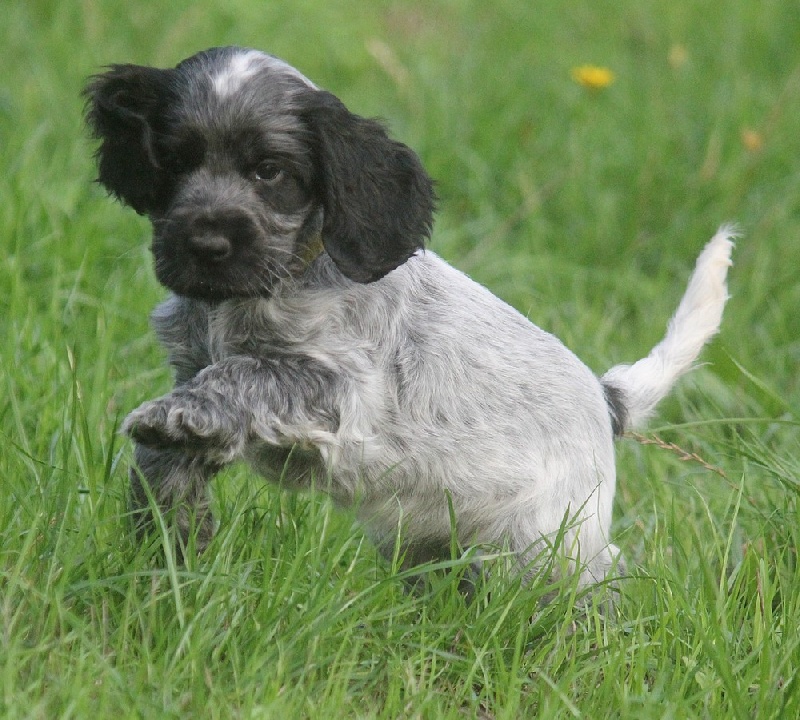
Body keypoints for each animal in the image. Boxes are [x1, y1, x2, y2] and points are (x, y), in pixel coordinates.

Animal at [84, 45, 736, 588]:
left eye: (269, 171)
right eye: (173, 163)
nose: (206, 244)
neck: (253, 293)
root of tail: (607, 398)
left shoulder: (338, 388)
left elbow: (242, 374)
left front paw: (173, 419)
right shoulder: (195, 360)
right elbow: (171, 464)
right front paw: (165, 537)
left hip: (551, 542)